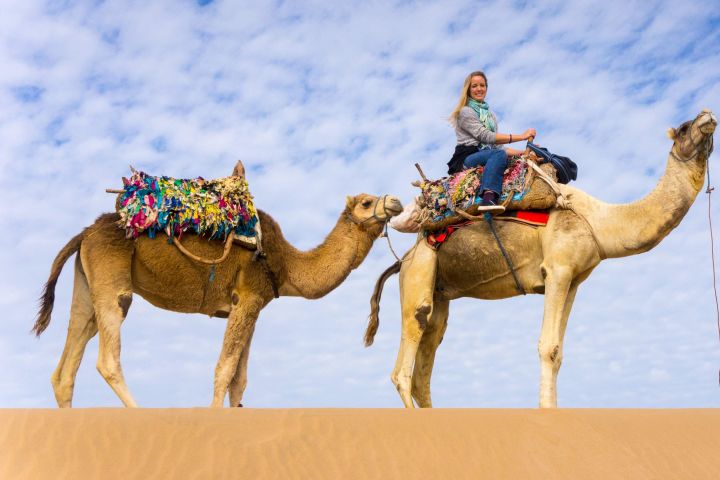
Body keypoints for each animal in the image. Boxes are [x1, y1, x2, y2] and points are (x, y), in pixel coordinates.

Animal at [33, 193, 402, 407]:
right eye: (366, 202)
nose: (396, 202)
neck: (285, 264)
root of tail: (84, 234)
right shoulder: (248, 296)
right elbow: (224, 371)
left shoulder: (251, 304)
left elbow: (239, 381)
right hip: (113, 281)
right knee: (108, 359)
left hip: (87, 283)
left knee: (67, 365)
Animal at [365, 109, 717, 408]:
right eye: (684, 127)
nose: (708, 116)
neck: (597, 222)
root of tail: (402, 259)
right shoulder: (557, 268)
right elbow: (547, 348)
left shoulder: (573, 279)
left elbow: (558, 352)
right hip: (419, 272)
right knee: (404, 366)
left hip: (439, 291)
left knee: (425, 365)